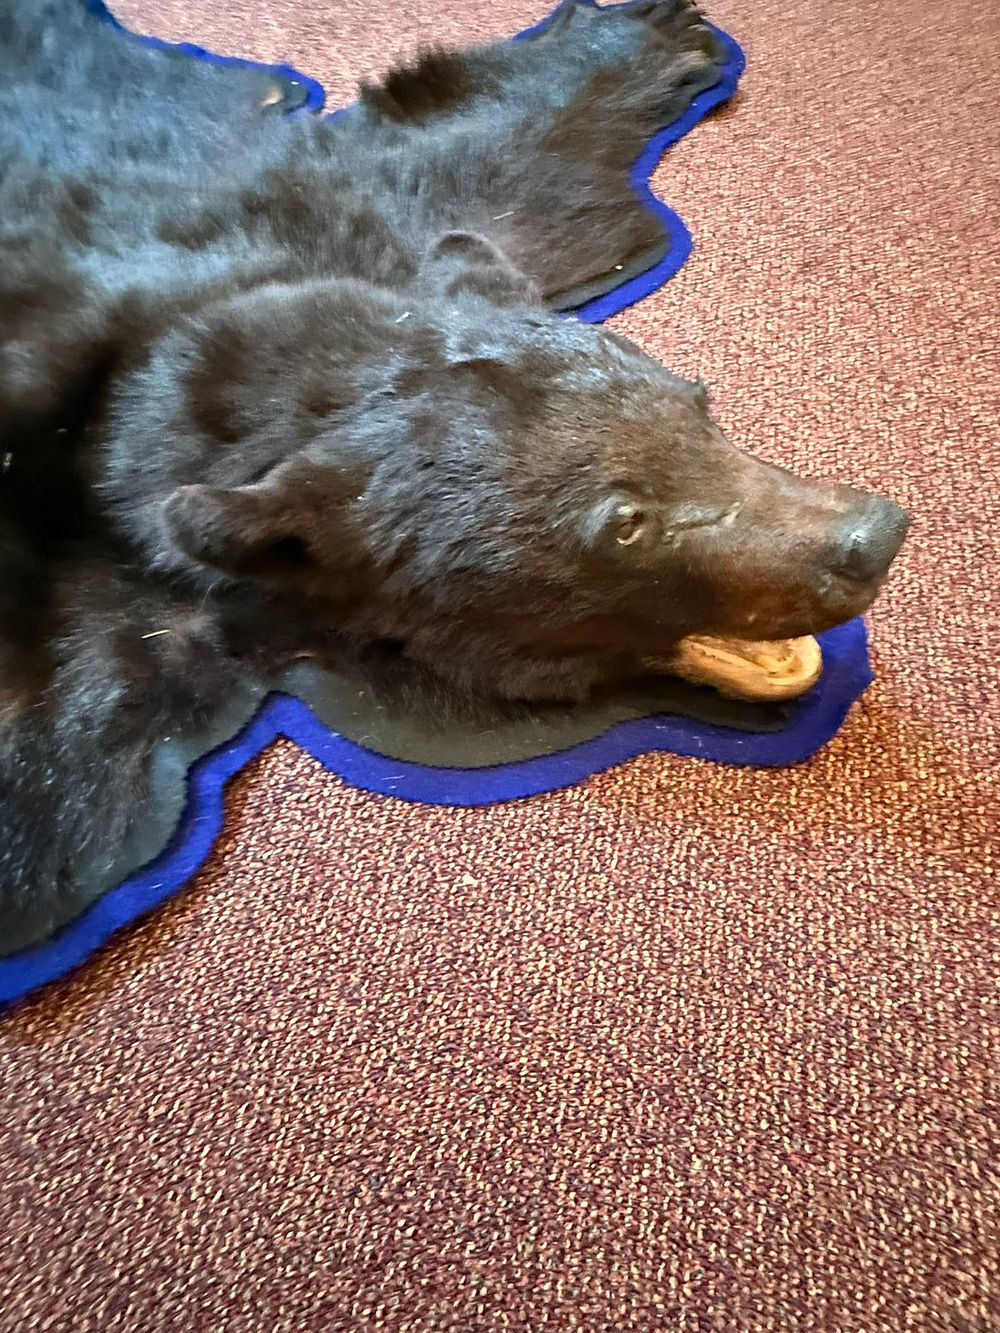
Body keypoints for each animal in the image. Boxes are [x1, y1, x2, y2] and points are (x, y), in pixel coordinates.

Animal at [0, 0, 908, 951]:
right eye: (627, 522)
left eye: (701, 403)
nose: (870, 537)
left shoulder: (322, 225)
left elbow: (500, 171)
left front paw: (655, 31)